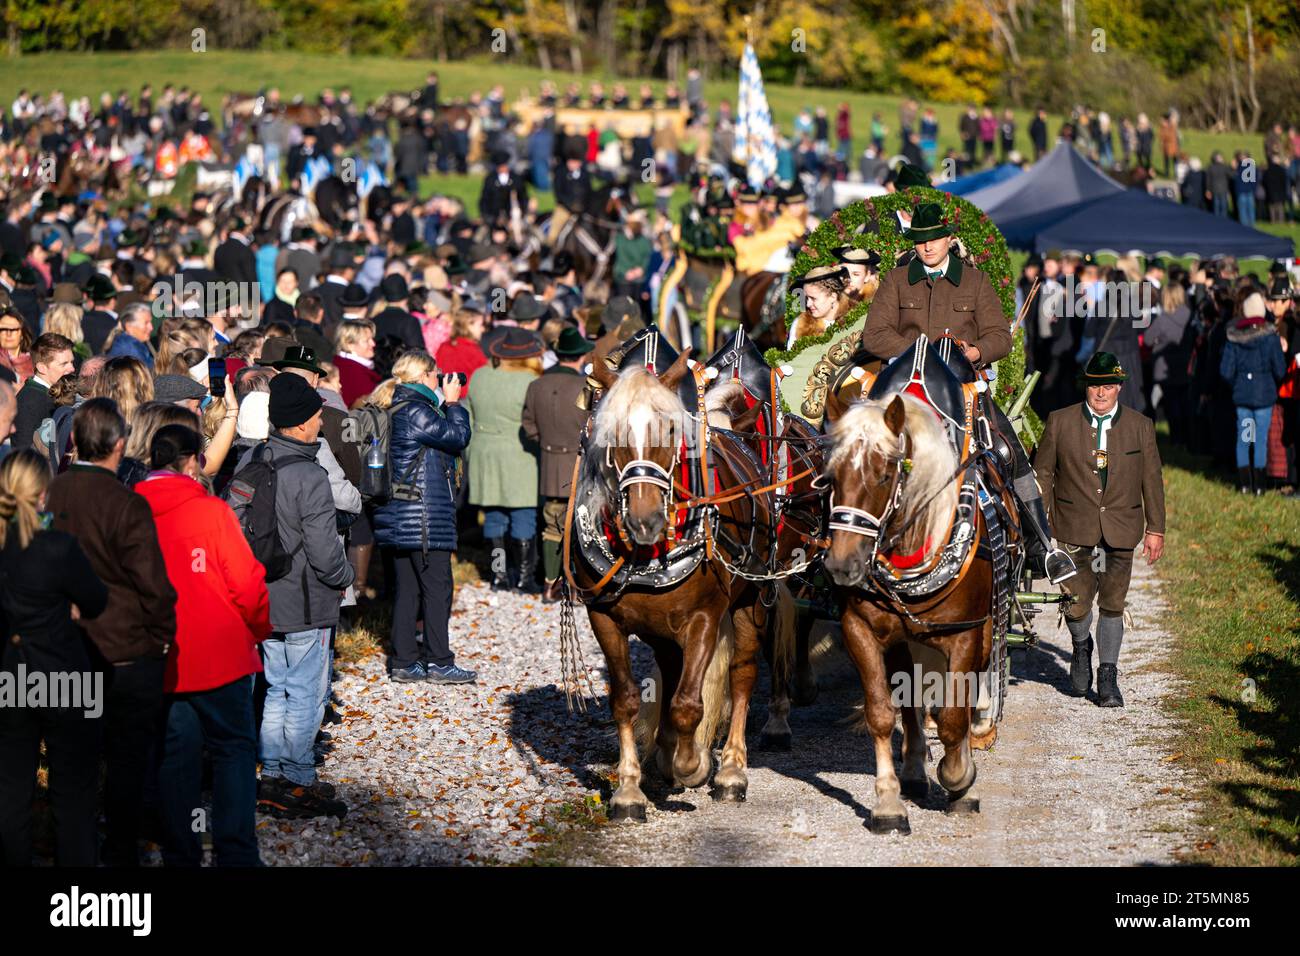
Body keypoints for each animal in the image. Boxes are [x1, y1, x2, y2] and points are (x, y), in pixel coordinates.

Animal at [572, 338, 800, 822]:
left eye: (671, 431)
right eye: (610, 436)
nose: (644, 520)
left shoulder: (704, 617)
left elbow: (688, 703)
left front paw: (693, 764)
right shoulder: (605, 619)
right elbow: (626, 700)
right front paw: (629, 790)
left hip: (750, 600)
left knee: (742, 674)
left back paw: (731, 770)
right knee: (671, 666)